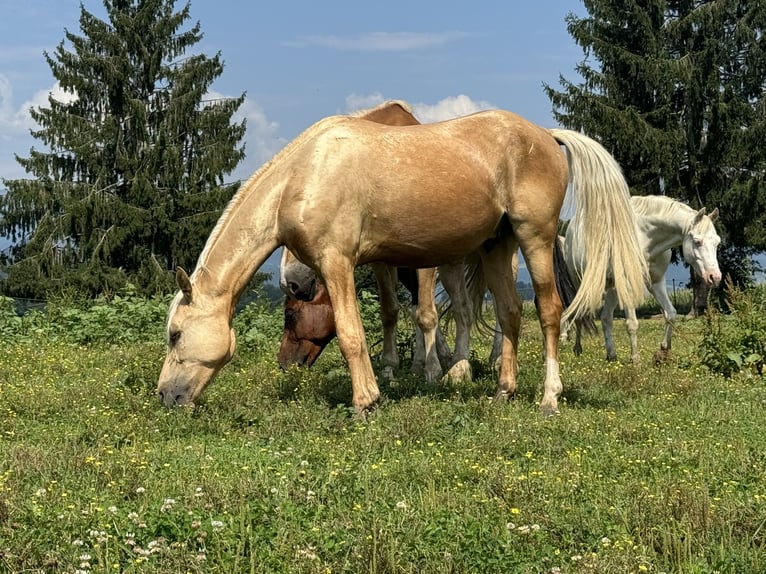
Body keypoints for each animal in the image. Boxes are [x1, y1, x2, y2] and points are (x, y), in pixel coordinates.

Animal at [159, 106, 652, 416]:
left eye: (175, 334)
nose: (165, 396)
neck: (307, 173)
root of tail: (546, 136)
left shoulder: (337, 263)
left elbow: (352, 335)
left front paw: (366, 401)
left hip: (535, 239)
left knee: (548, 312)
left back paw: (548, 398)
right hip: (497, 246)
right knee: (510, 313)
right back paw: (502, 391)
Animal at [560, 196, 724, 362]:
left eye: (717, 242)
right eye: (697, 241)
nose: (715, 277)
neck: (645, 239)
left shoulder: (656, 282)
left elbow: (670, 313)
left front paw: (664, 350)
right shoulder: (628, 285)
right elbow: (632, 323)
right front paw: (635, 360)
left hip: (613, 287)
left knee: (606, 318)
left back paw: (611, 355)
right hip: (579, 282)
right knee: (577, 312)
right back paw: (577, 348)